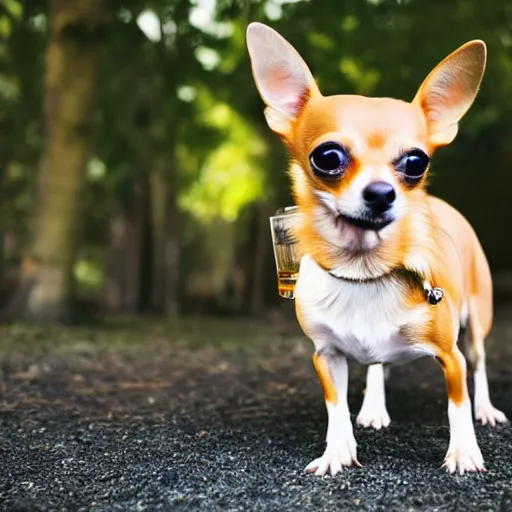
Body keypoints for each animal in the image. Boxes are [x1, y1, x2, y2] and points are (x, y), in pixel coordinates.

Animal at [246, 21, 506, 476]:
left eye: (416, 162)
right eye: (327, 157)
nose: (383, 193)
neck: (364, 270)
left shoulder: (451, 356)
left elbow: (457, 405)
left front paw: (463, 452)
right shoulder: (326, 357)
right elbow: (336, 409)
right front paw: (337, 451)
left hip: (476, 323)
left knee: (480, 365)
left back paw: (487, 409)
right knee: (376, 368)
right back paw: (373, 407)